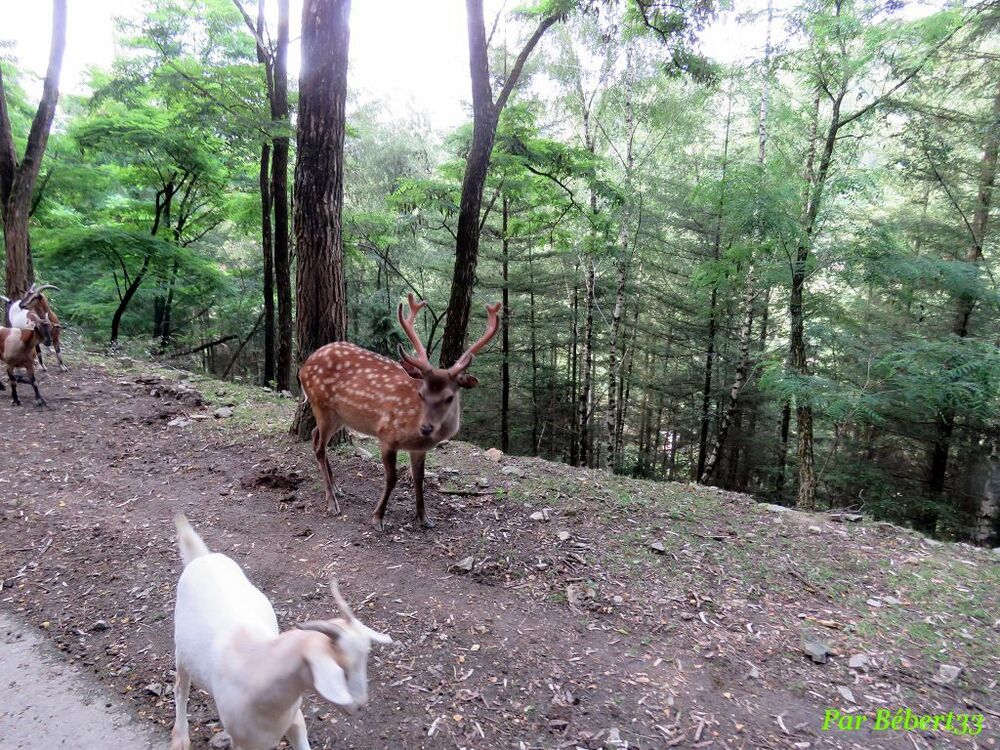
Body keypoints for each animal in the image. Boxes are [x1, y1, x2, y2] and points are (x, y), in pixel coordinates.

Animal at [172, 516, 390, 750]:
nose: (359, 706)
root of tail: (202, 557)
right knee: (180, 689)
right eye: (343, 669)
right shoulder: (242, 742)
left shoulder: (295, 721)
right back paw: (180, 737)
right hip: (181, 654)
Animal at [296, 296, 500, 532]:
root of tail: (304, 367)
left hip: (338, 416)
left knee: (314, 435)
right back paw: (332, 502)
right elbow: (392, 478)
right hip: (322, 405)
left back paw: (337, 487)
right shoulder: (387, 435)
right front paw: (377, 517)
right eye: (421, 394)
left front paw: (424, 518)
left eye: (449, 397)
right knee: (319, 447)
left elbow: (419, 478)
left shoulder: (419, 449)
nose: (426, 428)